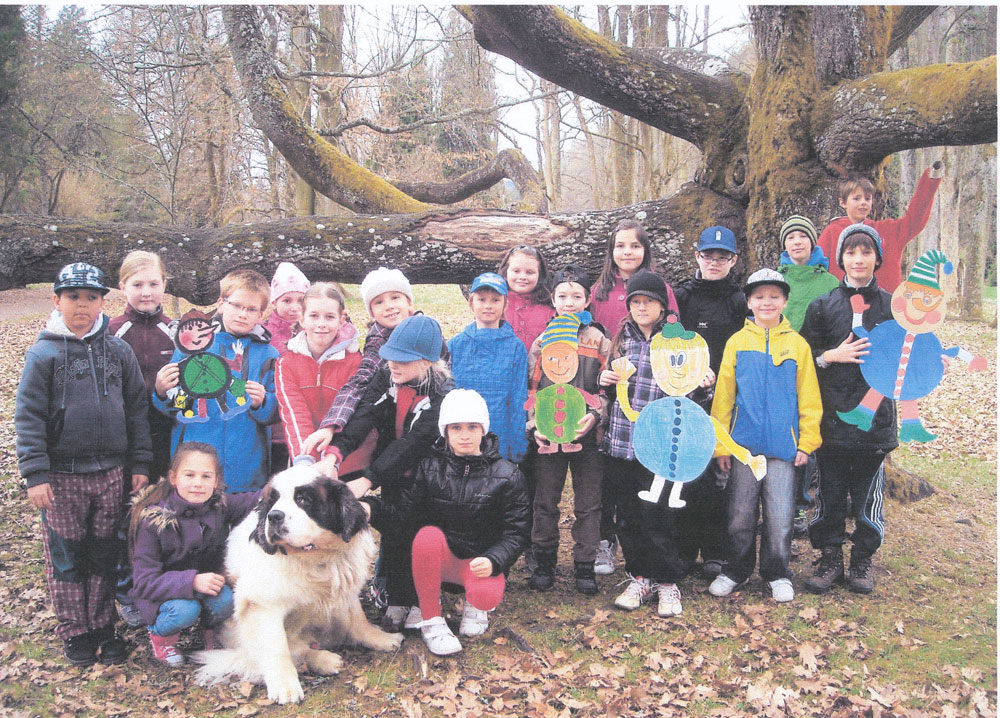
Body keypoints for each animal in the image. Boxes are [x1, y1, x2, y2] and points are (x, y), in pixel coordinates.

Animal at [191, 464, 402, 704]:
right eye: (273, 501)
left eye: (302, 499)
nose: (274, 516)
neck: (316, 558)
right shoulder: (262, 605)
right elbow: (278, 648)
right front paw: (285, 686)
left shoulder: (344, 587)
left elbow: (358, 620)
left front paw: (382, 638)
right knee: (292, 651)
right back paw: (324, 660)